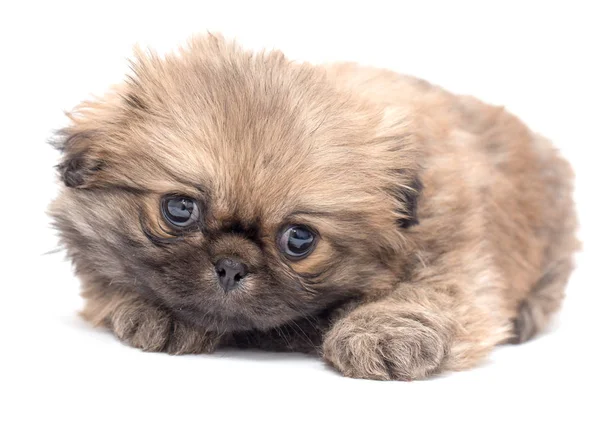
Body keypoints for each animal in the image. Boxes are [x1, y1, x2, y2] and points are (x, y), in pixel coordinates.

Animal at [49, 34, 580, 382]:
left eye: (299, 239)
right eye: (180, 209)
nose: (230, 266)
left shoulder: (455, 254)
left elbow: (428, 293)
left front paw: (379, 334)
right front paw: (161, 313)